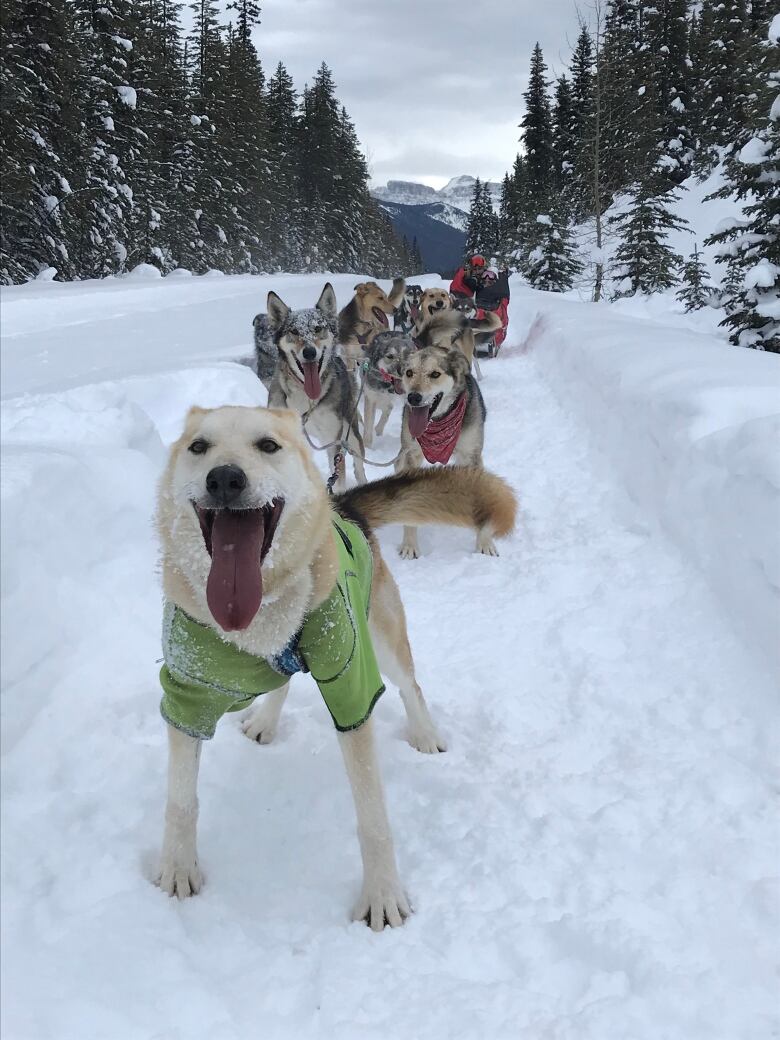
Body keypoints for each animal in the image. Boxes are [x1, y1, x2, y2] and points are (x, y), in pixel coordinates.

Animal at [154, 401, 515, 931]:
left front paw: (383, 894)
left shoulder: (353, 686)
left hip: (382, 637)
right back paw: (265, 719)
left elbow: (373, 818)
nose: (224, 478)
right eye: (199, 447)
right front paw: (178, 867)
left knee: (410, 685)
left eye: (268, 445)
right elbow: (181, 799)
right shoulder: (187, 693)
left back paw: (424, 732)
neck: (257, 617)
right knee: (282, 681)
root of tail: (346, 507)